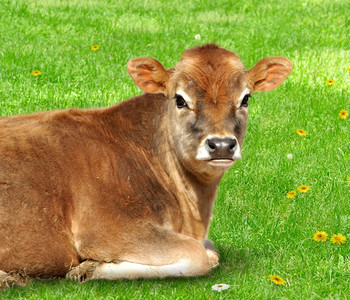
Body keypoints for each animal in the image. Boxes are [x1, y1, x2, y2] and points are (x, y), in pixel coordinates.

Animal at [0, 44, 292, 286]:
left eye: (246, 98)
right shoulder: (105, 227)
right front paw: (88, 269)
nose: (221, 145)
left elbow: (210, 251)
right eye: (179, 99)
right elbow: (198, 255)